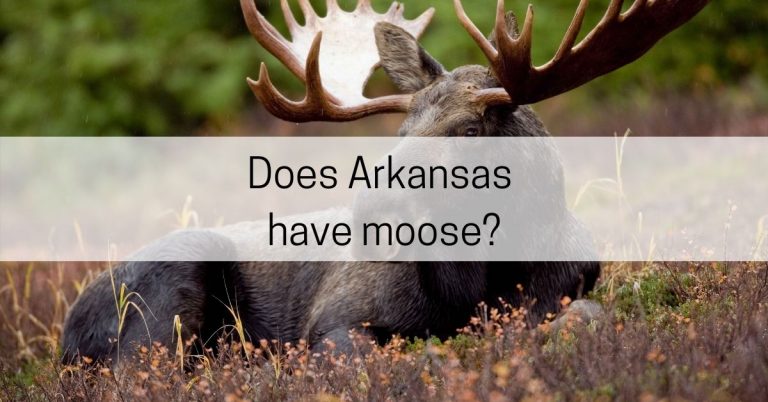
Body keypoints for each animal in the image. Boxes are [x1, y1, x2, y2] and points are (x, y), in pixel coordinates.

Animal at [61, 0, 710, 364]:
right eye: (403, 126)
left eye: (471, 129)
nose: (368, 206)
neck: (480, 286)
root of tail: (67, 330)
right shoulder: (335, 320)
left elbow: (588, 315)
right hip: (164, 296)